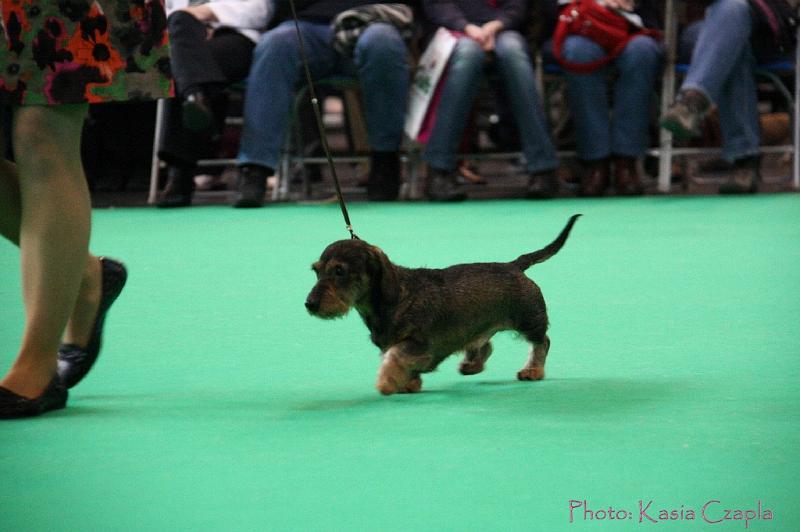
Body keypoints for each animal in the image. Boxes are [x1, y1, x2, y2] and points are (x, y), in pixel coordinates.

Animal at [306, 214, 580, 392]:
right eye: (316, 271)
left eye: (339, 271)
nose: (310, 304)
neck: (396, 298)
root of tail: (514, 265)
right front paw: (408, 383)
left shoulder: (419, 343)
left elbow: (395, 357)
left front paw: (387, 382)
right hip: (478, 325)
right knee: (485, 345)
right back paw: (471, 365)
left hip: (528, 319)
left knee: (542, 342)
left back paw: (533, 370)